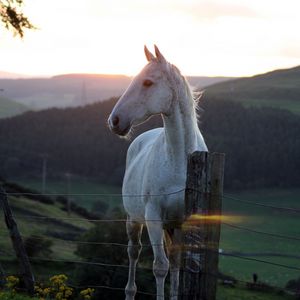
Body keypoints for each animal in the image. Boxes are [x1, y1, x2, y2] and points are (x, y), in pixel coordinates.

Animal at [108, 45, 209, 298]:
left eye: (147, 82)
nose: (114, 121)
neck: (180, 160)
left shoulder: (183, 222)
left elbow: (176, 264)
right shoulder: (153, 217)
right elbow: (159, 267)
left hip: (171, 226)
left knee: (173, 259)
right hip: (134, 220)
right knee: (134, 252)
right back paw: (130, 292)